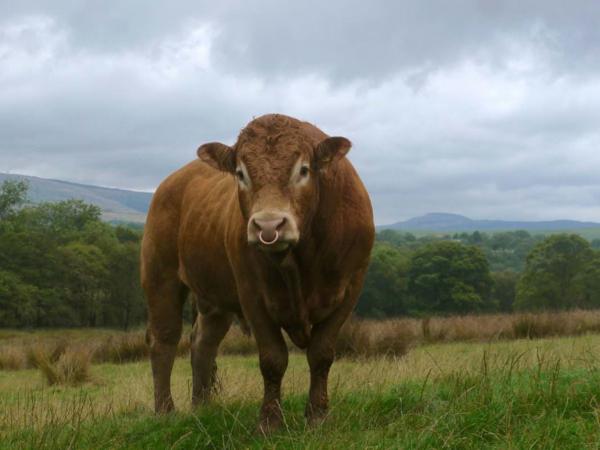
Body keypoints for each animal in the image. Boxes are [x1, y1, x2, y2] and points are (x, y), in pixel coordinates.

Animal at [142, 112, 372, 428]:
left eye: (303, 170)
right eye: (240, 174)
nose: (268, 226)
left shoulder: (350, 288)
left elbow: (321, 354)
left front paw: (317, 416)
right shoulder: (252, 294)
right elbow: (273, 358)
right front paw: (270, 421)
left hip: (213, 298)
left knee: (203, 343)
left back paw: (202, 407)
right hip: (160, 276)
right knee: (164, 340)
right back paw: (165, 411)